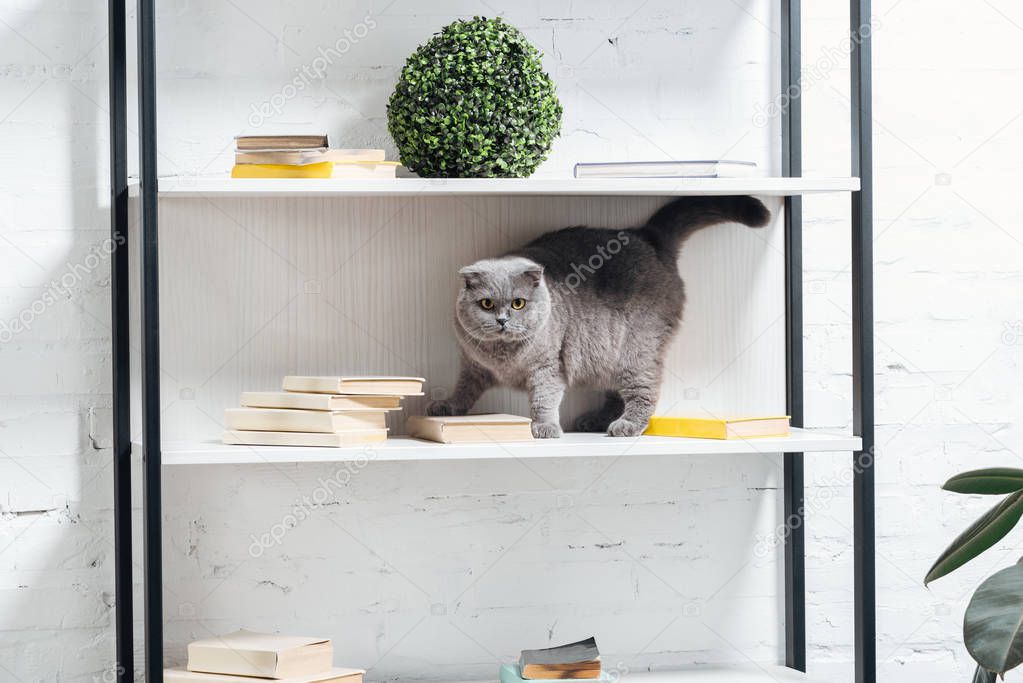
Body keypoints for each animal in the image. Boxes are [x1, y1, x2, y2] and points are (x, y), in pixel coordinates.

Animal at [423, 194, 769, 437]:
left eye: (518, 303)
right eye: (486, 304)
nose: (503, 320)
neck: (503, 357)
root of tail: (647, 236)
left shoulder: (548, 367)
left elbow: (543, 399)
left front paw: (544, 428)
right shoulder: (473, 365)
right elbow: (464, 389)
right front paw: (446, 407)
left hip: (636, 348)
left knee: (644, 391)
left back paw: (625, 426)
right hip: (608, 353)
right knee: (615, 394)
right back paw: (596, 421)